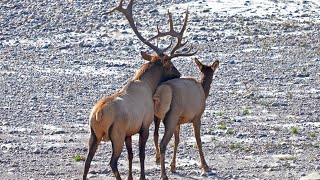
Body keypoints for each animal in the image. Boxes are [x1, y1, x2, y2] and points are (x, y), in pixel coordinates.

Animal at [82, 0, 198, 179]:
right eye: (171, 65)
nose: (179, 74)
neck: (148, 85)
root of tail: (98, 114)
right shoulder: (144, 125)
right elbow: (141, 154)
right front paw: (142, 176)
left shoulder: (130, 132)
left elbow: (131, 155)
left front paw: (131, 176)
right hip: (116, 134)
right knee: (112, 162)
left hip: (94, 135)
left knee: (87, 162)